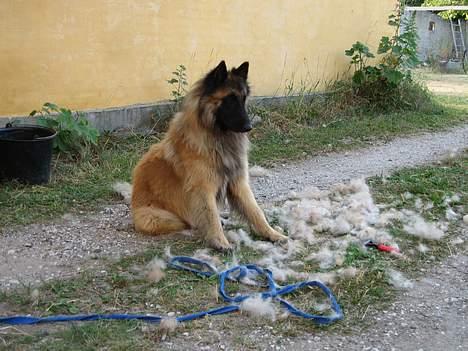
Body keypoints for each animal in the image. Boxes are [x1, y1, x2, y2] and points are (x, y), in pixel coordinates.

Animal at [130, 62, 288, 252]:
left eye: (243, 99)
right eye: (229, 100)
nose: (249, 127)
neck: (217, 138)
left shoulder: (238, 182)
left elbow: (256, 211)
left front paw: (273, 234)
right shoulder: (203, 188)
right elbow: (211, 216)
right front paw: (221, 242)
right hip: (156, 217)